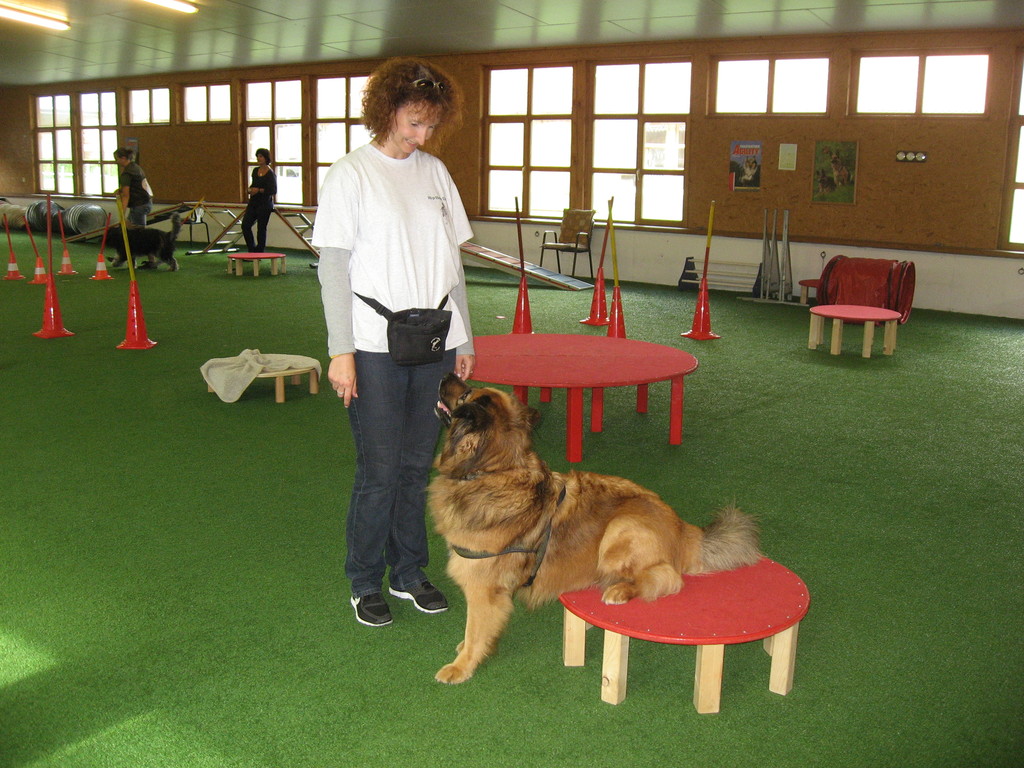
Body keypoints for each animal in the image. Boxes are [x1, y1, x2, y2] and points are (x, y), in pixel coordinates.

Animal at [430, 372, 761, 684]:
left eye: (466, 393)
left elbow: (475, 630)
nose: (446, 373)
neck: (491, 469)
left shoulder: (483, 587)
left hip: (619, 530)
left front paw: (461, 667)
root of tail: (682, 526)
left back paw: (619, 591)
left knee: (667, 578)